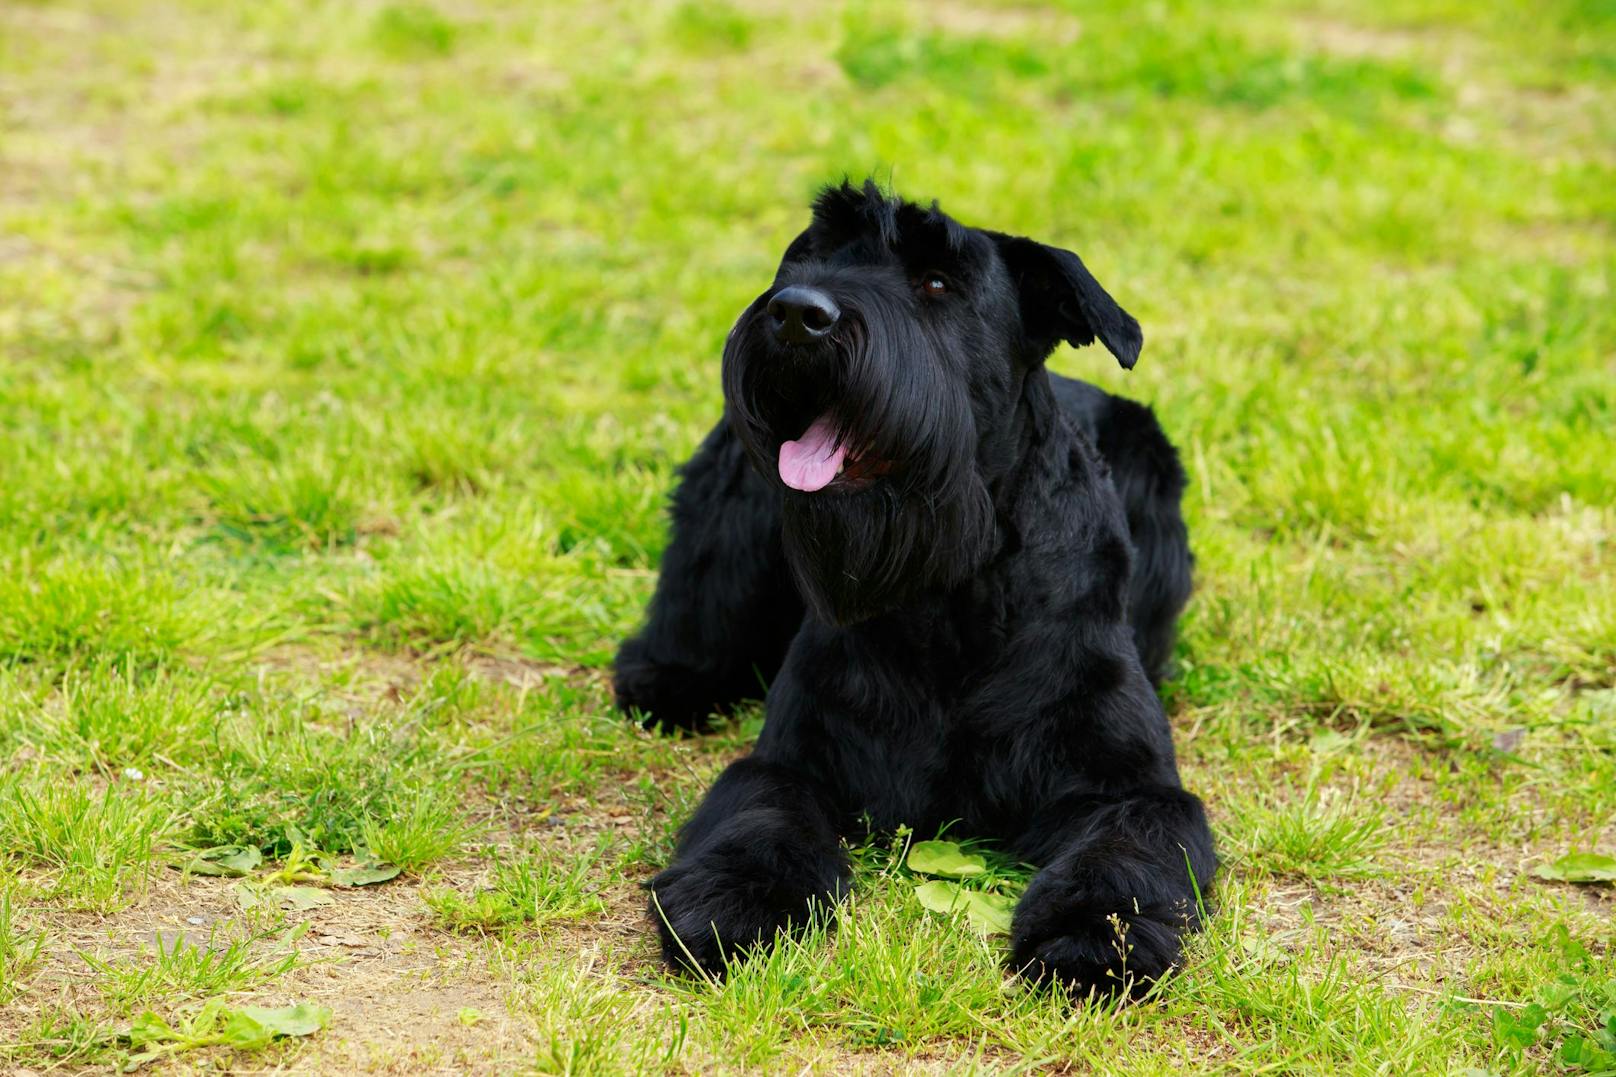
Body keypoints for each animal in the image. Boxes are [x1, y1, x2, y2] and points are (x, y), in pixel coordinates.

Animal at [614, 180, 1215, 996]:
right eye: (812, 254)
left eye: (935, 282)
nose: (795, 312)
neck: (953, 590)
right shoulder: (797, 760)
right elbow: (761, 815)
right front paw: (733, 898)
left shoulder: (1129, 786)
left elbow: (1123, 851)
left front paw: (1093, 934)